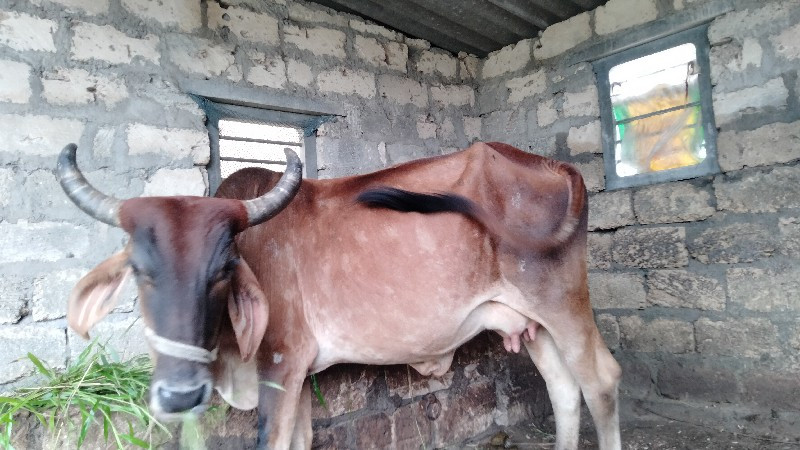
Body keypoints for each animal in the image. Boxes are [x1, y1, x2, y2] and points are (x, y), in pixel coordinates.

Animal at [59, 142, 620, 450]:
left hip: (562, 302)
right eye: (139, 270)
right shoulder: (299, 373)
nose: (179, 395)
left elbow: (272, 439)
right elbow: (301, 439)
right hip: (531, 321)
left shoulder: (280, 361)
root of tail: (551, 164)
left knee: (600, 380)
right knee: (563, 388)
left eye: (222, 269)